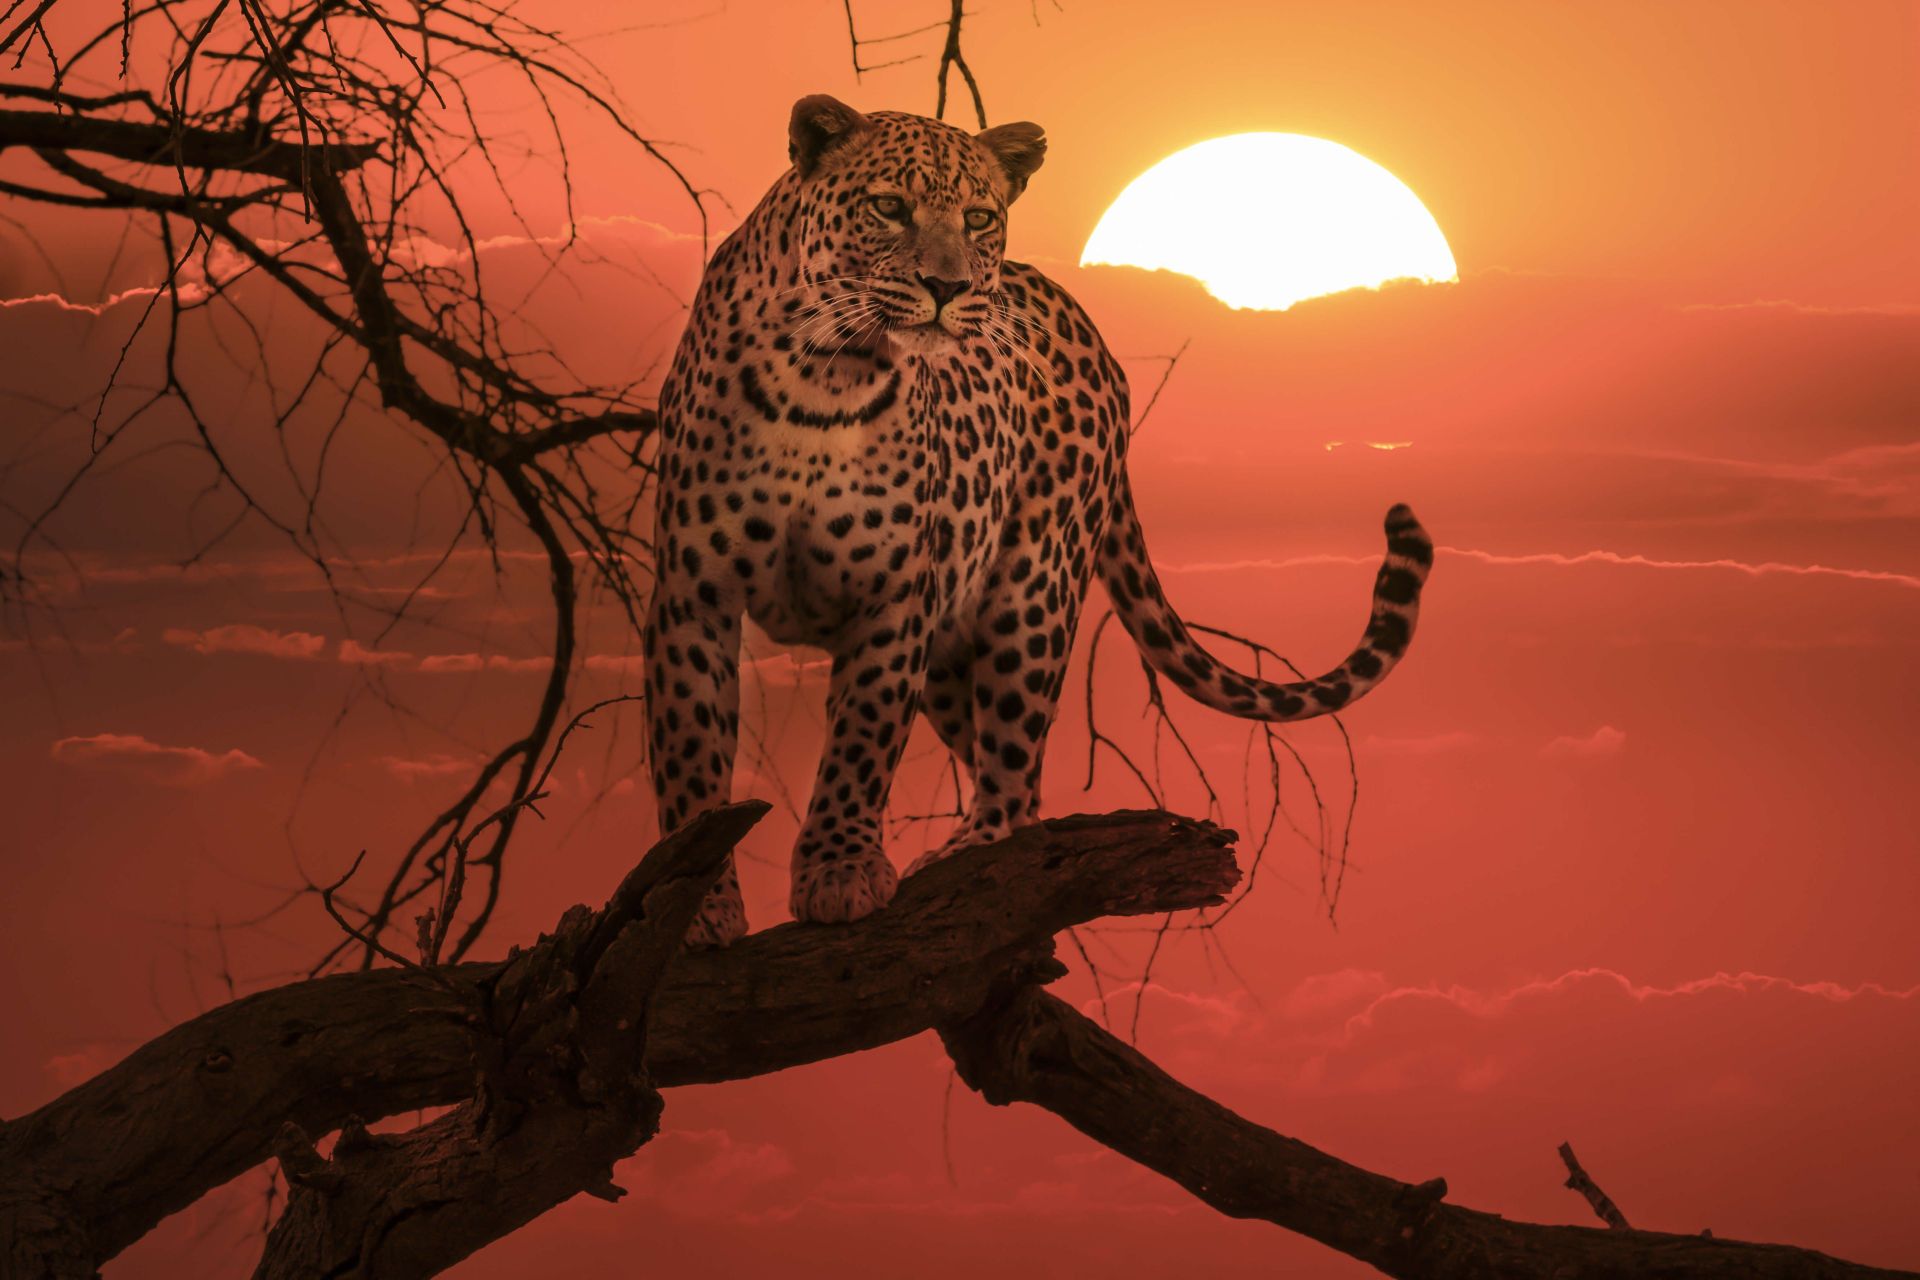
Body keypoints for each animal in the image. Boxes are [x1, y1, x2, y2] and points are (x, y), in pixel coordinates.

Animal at [646, 95, 1434, 945]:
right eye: (888, 206)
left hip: (1032, 591)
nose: (946, 285)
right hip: (953, 644)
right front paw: (700, 908)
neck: (824, 377)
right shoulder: (693, 594)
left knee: (1016, 772)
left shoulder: (892, 602)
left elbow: (861, 744)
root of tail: (1092, 332)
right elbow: (691, 759)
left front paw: (841, 869)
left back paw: (971, 852)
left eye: (979, 216)